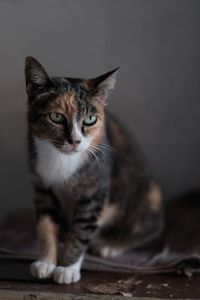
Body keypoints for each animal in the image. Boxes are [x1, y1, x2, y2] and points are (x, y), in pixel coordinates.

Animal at [24, 56, 162, 284]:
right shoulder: (41, 185)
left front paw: (67, 268)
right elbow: (45, 224)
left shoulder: (95, 190)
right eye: (56, 117)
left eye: (90, 119)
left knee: (149, 228)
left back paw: (109, 245)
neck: (62, 160)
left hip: (149, 196)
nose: (75, 141)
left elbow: (82, 229)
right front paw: (45, 262)